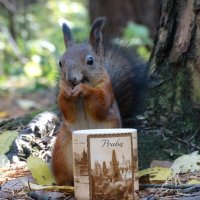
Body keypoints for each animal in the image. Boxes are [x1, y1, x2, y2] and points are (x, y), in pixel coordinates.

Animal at [52, 16, 148, 185]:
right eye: (60, 62)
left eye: (90, 61)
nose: (71, 79)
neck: (79, 99)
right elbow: (67, 110)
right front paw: (65, 91)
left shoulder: (106, 90)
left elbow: (100, 106)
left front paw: (83, 89)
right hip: (61, 152)